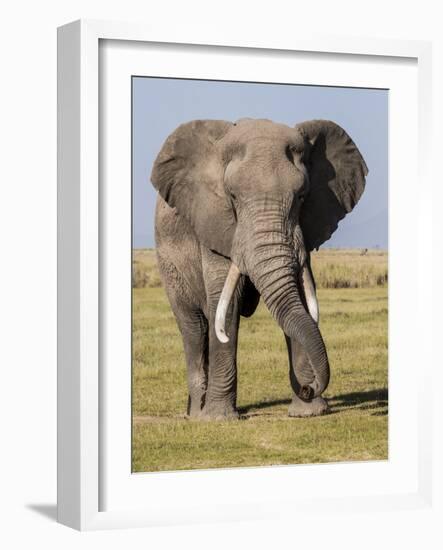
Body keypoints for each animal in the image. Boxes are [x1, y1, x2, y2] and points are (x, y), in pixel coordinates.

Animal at [150, 118, 368, 420]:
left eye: (302, 197)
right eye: (232, 197)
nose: (308, 387)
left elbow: (299, 297)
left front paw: (308, 413)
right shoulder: (215, 223)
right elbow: (226, 306)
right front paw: (219, 420)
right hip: (168, 261)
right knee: (194, 327)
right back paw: (197, 414)